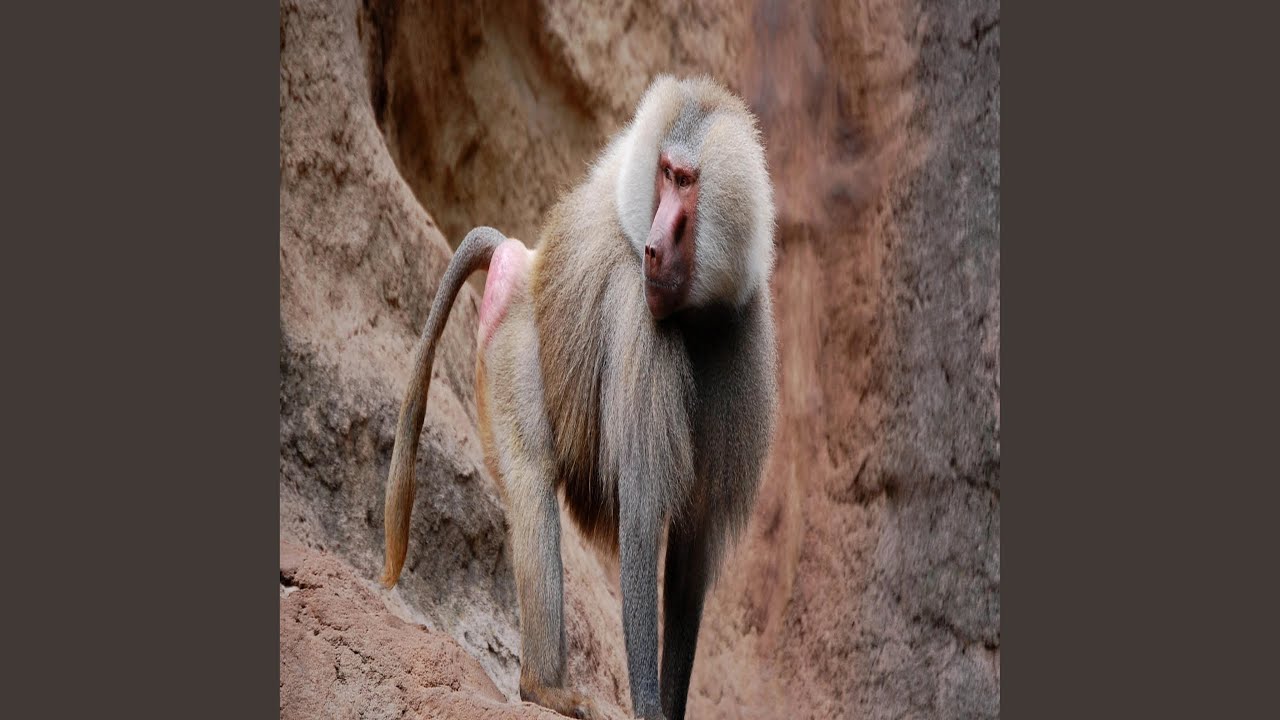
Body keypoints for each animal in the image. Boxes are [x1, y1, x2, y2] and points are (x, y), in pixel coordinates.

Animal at [381, 76, 777, 720]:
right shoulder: (639, 317)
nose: (651, 249)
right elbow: (641, 519)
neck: (696, 312)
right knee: (532, 480)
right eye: (665, 173)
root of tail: (524, 257)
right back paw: (544, 687)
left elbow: (690, 552)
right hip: (514, 342)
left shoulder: (742, 334)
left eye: (686, 181)